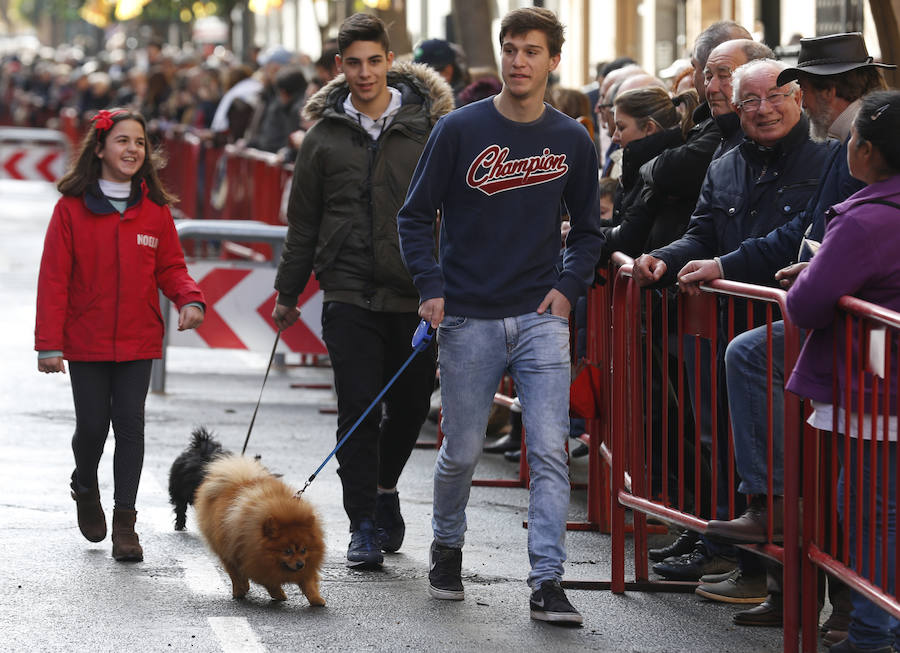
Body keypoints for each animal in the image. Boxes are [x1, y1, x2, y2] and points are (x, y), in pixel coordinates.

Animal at [193, 454, 326, 608]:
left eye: (304, 550)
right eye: (287, 551)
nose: (300, 564)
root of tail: (238, 481)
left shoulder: (306, 567)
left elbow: (309, 584)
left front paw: (317, 599)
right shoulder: (258, 564)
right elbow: (270, 583)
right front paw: (279, 594)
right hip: (227, 550)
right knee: (234, 572)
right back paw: (239, 591)